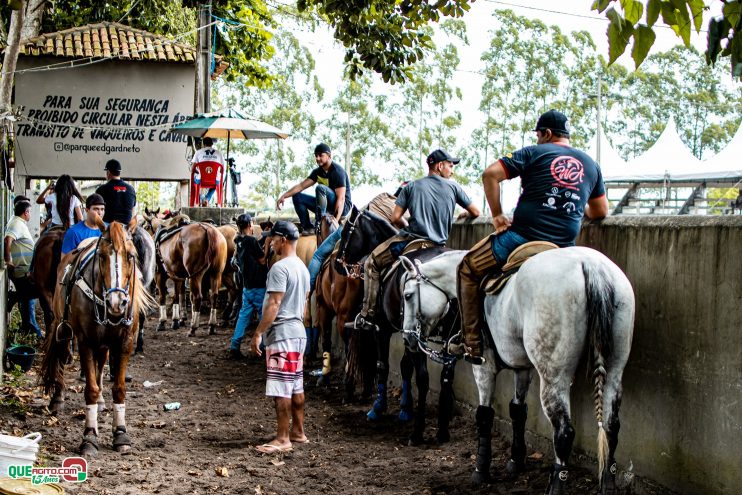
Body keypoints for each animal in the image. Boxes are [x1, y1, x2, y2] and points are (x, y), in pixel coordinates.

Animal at [40, 220, 157, 458]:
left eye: (131, 255)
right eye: (101, 255)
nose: (116, 302)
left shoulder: (124, 342)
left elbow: (119, 388)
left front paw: (120, 433)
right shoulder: (85, 341)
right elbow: (90, 390)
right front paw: (89, 437)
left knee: (101, 362)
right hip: (61, 325)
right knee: (62, 355)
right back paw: (57, 398)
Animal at [336, 205, 460, 446]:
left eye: (346, 231)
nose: (337, 263)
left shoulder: (383, 330)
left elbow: (383, 366)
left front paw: (378, 408)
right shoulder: (407, 333)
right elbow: (404, 366)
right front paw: (404, 409)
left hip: (418, 335)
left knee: (423, 378)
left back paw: (418, 433)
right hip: (446, 340)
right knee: (445, 378)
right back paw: (442, 432)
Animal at [398, 246, 636, 494]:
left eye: (407, 295)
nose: (408, 338)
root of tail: (590, 265)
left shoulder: (484, 367)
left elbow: (484, 415)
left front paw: (481, 470)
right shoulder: (522, 369)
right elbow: (518, 410)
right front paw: (516, 460)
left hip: (554, 378)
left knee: (564, 433)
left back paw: (556, 485)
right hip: (613, 371)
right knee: (611, 425)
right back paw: (608, 484)